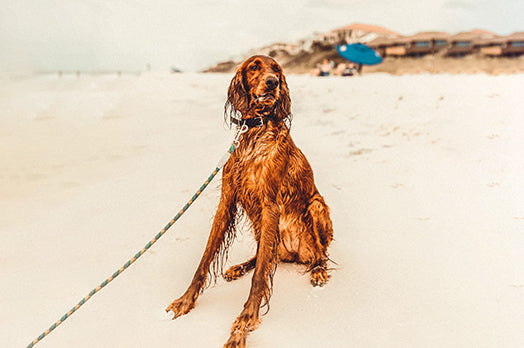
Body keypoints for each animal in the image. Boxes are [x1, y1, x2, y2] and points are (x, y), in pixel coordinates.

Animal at [166, 55, 334, 346]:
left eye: (277, 69)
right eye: (254, 66)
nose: (273, 82)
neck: (255, 131)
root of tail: (295, 254)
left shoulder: (269, 205)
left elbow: (259, 279)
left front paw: (243, 324)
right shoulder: (227, 201)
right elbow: (206, 257)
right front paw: (187, 300)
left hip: (315, 207)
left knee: (318, 254)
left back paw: (318, 270)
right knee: (265, 256)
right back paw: (238, 267)